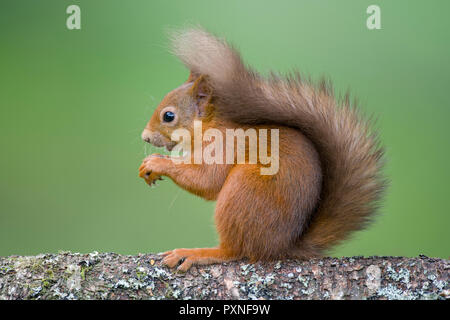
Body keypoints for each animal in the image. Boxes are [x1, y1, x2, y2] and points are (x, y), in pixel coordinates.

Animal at [138, 28, 386, 272]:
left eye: (169, 116)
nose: (145, 137)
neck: (211, 125)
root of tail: (281, 247)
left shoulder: (225, 145)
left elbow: (207, 179)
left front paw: (157, 162)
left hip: (245, 190)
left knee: (234, 251)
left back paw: (197, 253)